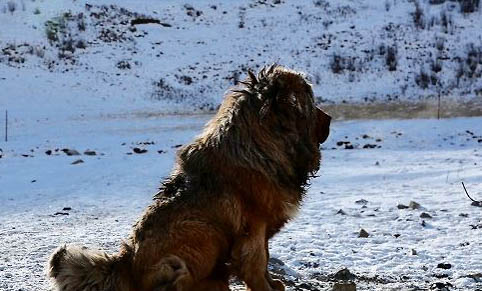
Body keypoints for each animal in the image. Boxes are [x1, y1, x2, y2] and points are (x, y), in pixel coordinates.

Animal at [49, 64, 330, 291]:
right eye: (309, 100)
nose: (328, 117)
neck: (261, 145)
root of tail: (125, 263)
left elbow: (266, 261)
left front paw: (275, 283)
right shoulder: (253, 228)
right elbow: (256, 265)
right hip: (201, 232)